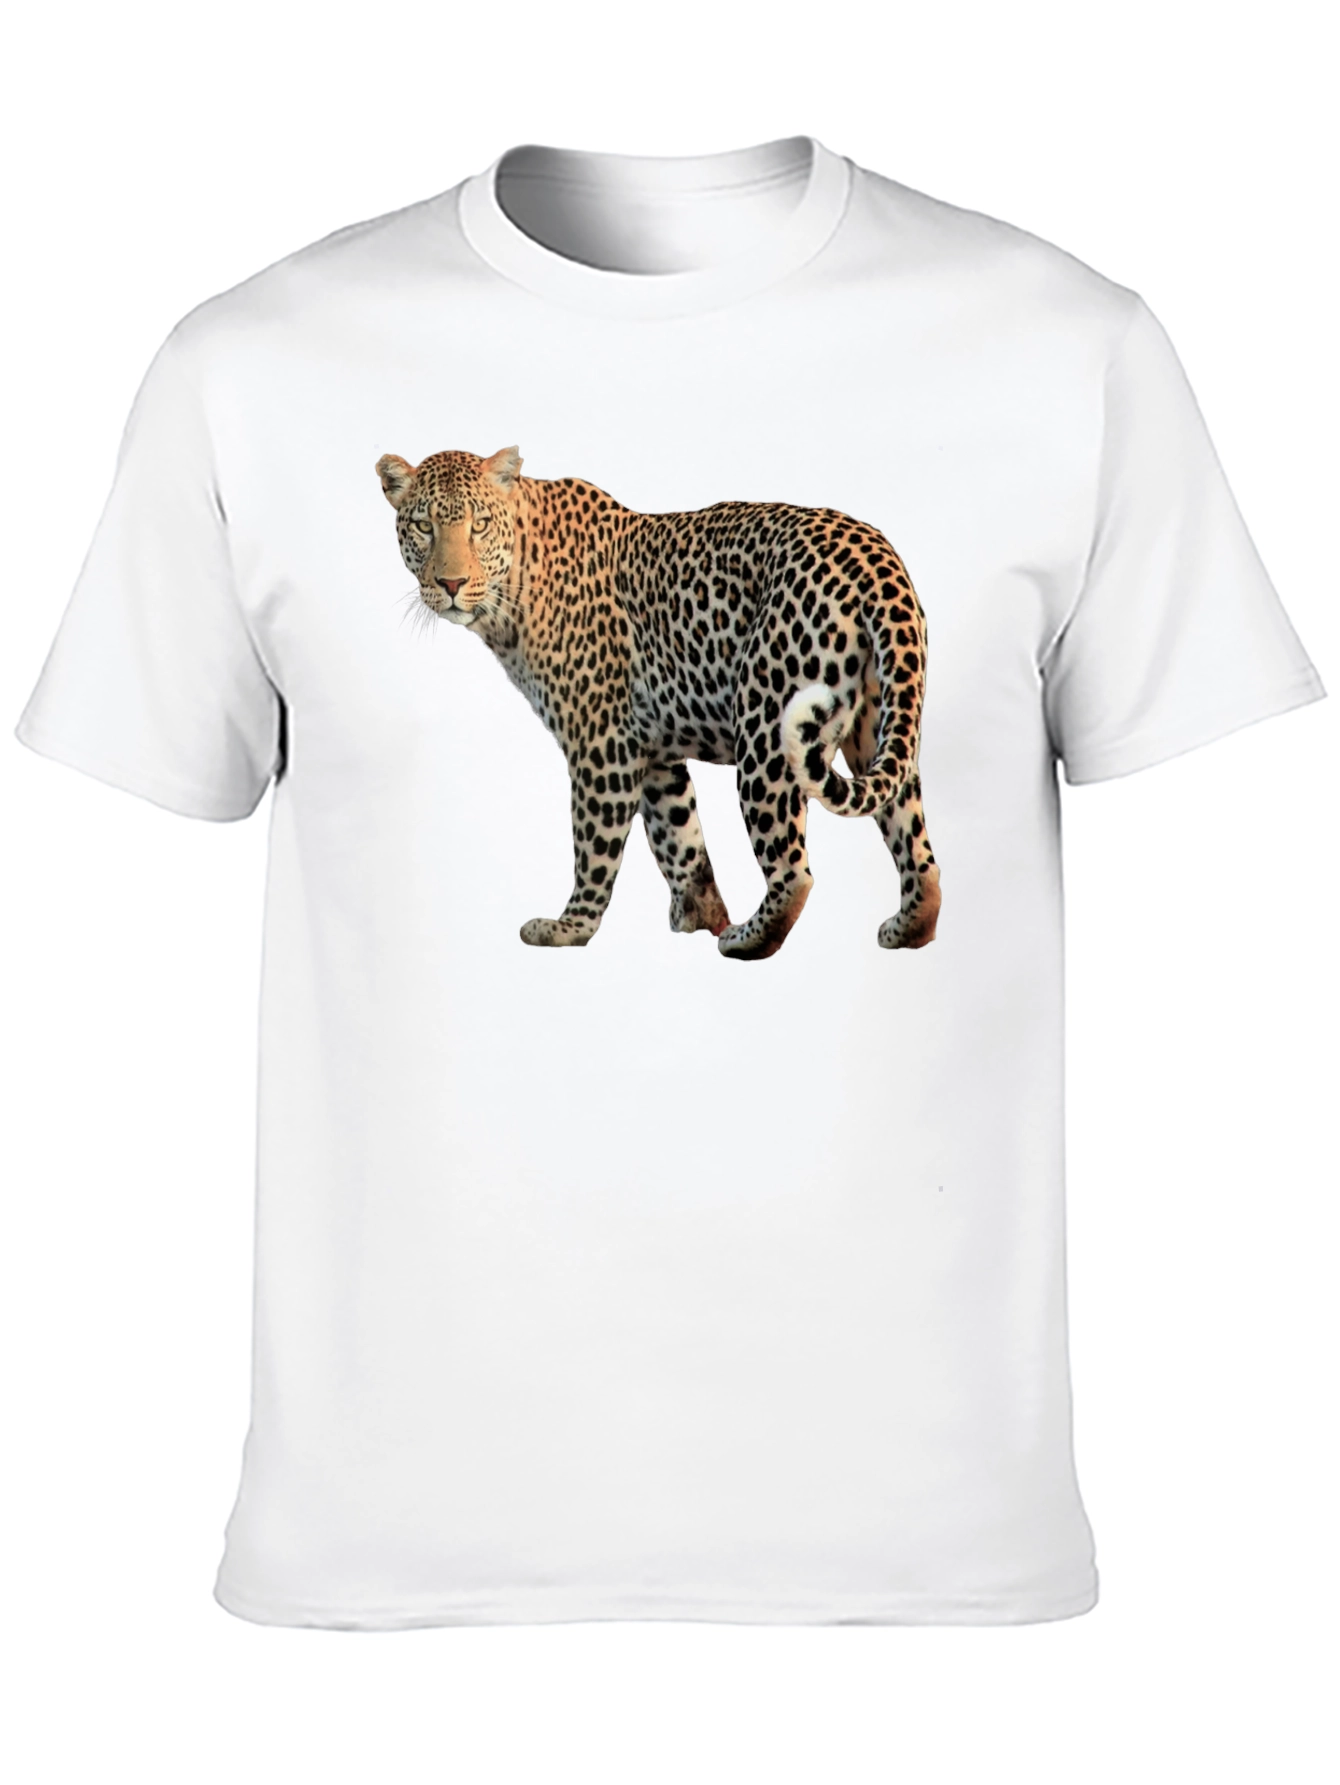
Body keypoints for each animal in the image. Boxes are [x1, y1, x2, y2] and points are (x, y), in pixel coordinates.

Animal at [376, 445, 940, 962]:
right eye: (424, 526)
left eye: (480, 525)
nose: (450, 583)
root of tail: (876, 556)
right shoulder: (652, 751)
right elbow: (680, 838)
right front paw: (699, 917)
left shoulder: (601, 741)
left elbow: (595, 844)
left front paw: (570, 928)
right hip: (878, 727)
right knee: (917, 849)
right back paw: (907, 929)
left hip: (767, 728)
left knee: (794, 871)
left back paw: (747, 940)